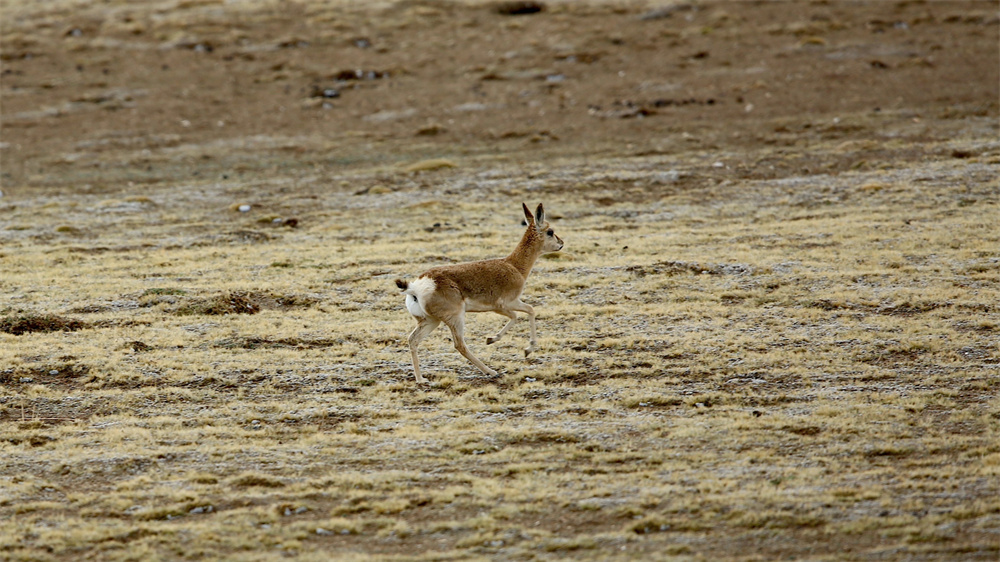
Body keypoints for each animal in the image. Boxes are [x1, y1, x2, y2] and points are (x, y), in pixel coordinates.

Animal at [392, 201, 564, 380]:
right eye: (550, 231)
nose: (561, 243)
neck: (513, 266)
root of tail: (417, 286)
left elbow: (525, 313)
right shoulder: (505, 305)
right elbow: (525, 312)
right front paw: (501, 342)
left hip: (431, 321)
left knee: (413, 340)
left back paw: (420, 379)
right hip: (456, 319)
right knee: (459, 345)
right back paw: (491, 371)